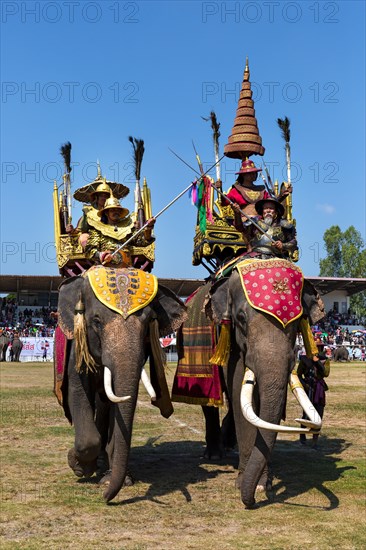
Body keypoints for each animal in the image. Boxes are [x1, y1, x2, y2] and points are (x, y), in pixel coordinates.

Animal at [55, 268, 187, 504]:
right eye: (96, 321)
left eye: (149, 322)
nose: (106, 498)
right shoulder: (76, 349)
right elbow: (78, 393)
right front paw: (79, 467)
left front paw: (115, 480)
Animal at [203, 260, 326, 512]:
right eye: (240, 318)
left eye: (299, 321)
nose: (250, 502)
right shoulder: (233, 345)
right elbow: (239, 393)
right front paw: (246, 484)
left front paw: (263, 484)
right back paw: (214, 455)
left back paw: (228, 446)